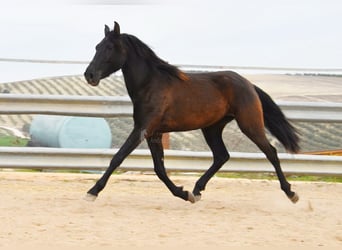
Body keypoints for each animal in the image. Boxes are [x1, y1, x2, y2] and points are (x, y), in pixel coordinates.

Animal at [83, 21, 300, 204]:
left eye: (109, 48)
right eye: (96, 47)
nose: (89, 75)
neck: (150, 84)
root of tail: (248, 84)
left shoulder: (143, 129)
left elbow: (118, 158)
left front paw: (92, 192)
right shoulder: (154, 133)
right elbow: (159, 169)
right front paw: (184, 193)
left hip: (249, 124)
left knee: (270, 152)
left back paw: (291, 193)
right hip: (212, 128)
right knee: (221, 156)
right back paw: (196, 190)